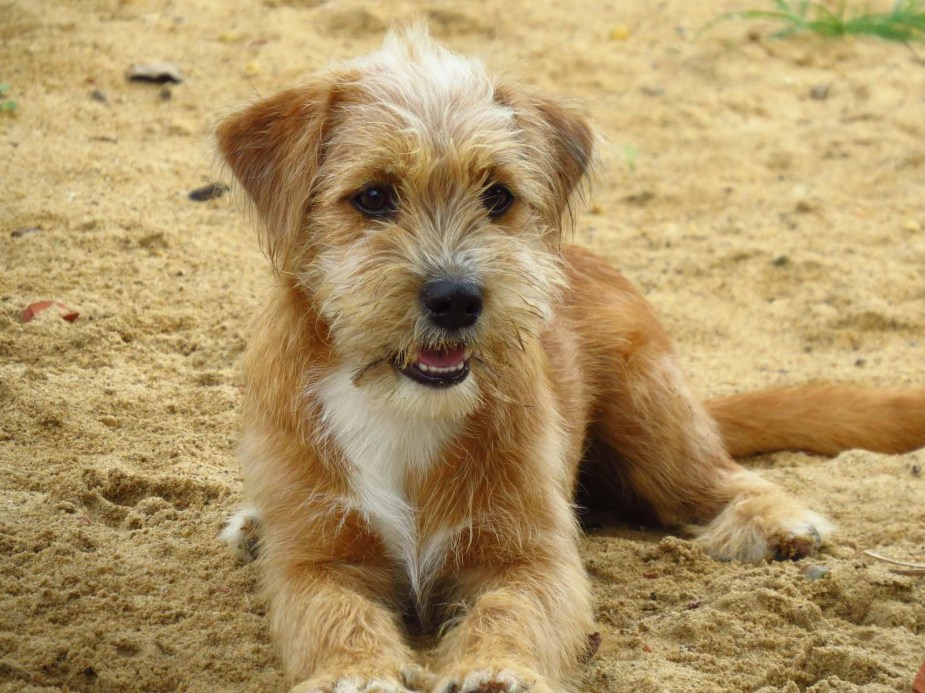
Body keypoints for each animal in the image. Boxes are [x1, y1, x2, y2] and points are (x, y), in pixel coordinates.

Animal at [217, 27, 924, 692]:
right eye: (372, 197)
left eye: (497, 196)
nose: (457, 299)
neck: (402, 407)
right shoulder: (318, 561)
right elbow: (335, 615)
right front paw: (355, 673)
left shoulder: (530, 556)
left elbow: (514, 610)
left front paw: (497, 669)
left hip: (651, 423)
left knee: (723, 477)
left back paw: (777, 519)